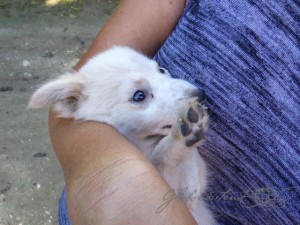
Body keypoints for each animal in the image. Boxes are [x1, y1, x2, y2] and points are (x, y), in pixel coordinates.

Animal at [28, 46, 216, 224]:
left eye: (161, 70)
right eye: (139, 95)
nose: (201, 95)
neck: (145, 143)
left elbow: (193, 163)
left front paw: (190, 181)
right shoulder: (165, 186)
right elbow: (163, 155)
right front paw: (180, 136)